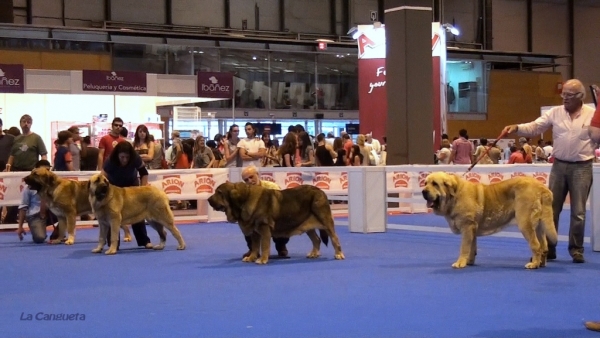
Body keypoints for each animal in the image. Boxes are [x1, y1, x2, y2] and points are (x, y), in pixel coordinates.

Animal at [209, 182, 344, 264]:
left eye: (219, 192)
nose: (208, 199)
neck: (244, 199)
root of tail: (321, 191)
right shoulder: (255, 232)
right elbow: (254, 246)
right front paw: (251, 257)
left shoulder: (264, 228)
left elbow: (264, 245)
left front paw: (262, 260)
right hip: (307, 225)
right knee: (316, 239)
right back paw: (314, 253)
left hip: (326, 221)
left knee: (334, 238)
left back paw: (339, 254)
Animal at [422, 172, 556, 270]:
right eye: (425, 183)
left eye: (435, 184)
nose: (423, 191)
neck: (454, 195)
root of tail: (542, 187)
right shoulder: (472, 229)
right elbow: (472, 247)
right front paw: (469, 261)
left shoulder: (467, 227)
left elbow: (464, 247)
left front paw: (460, 263)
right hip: (539, 226)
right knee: (544, 246)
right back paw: (541, 263)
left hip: (525, 223)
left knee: (536, 245)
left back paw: (534, 264)